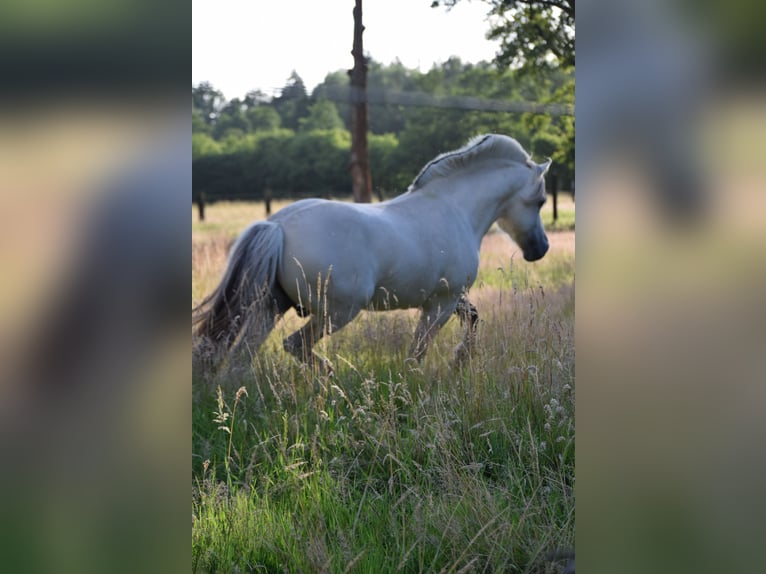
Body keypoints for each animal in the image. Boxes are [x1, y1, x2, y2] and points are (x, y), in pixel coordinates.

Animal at [192, 135, 552, 368]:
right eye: (541, 200)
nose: (540, 249)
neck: (454, 209)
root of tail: (278, 226)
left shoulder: (451, 297)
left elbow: (474, 317)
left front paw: (461, 360)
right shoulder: (441, 302)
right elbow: (417, 353)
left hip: (270, 307)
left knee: (242, 359)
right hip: (336, 313)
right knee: (293, 345)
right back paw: (332, 379)